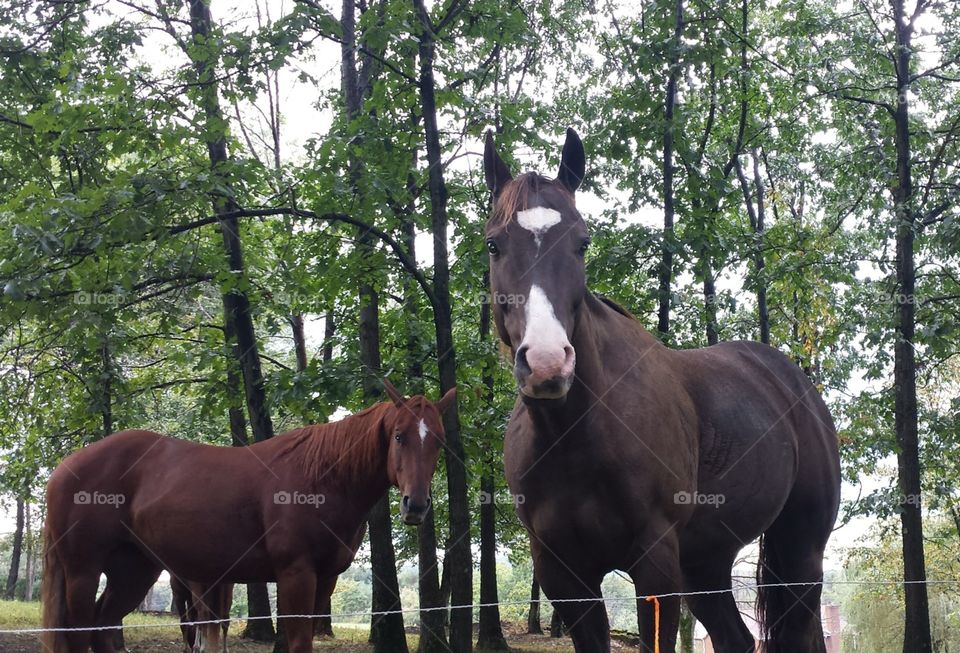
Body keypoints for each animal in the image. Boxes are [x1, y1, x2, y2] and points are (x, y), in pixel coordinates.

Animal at [42, 379, 455, 653]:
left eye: (438, 440)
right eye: (399, 436)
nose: (416, 505)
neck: (321, 477)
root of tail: (65, 468)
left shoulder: (324, 580)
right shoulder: (295, 574)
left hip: (134, 571)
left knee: (102, 627)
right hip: (83, 571)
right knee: (80, 632)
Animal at [482, 129, 841, 653]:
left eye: (582, 243)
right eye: (494, 245)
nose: (547, 363)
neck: (575, 435)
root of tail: (794, 383)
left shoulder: (655, 566)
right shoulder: (563, 575)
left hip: (800, 552)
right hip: (706, 562)